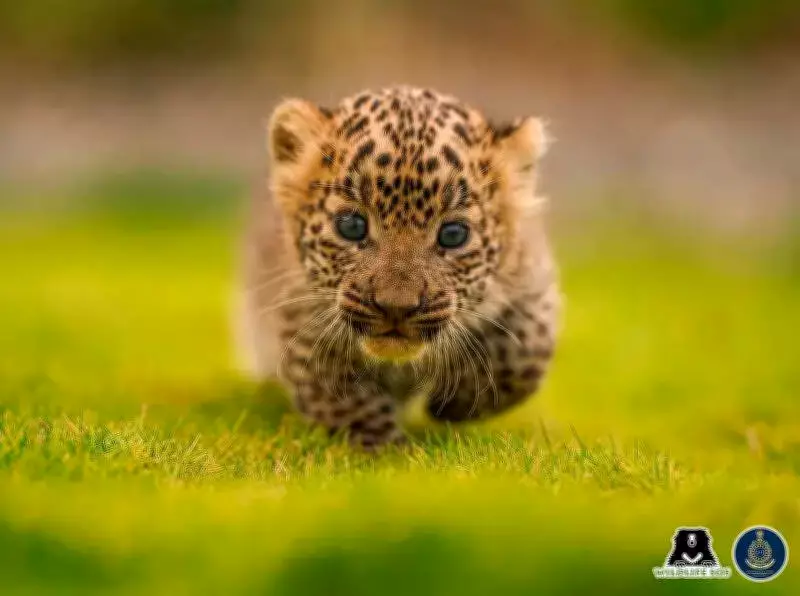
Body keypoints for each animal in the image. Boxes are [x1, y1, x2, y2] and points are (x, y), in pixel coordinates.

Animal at [236, 86, 561, 450]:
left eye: (453, 235)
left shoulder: (531, 278)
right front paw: (383, 450)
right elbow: (337, 391)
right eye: (351, 226)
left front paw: (457, 402)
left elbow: (527, 348)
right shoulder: (298, 312)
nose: (396, 308)